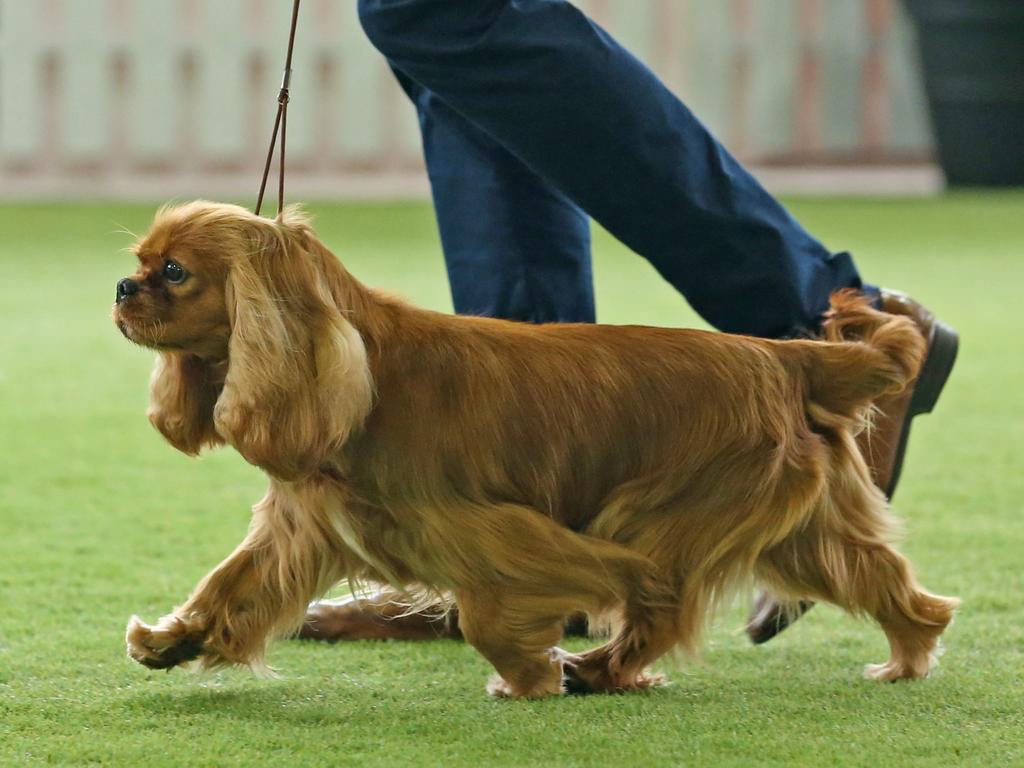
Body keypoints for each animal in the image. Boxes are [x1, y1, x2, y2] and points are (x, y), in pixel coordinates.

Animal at [116, 199, 954, 696]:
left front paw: (528, 676)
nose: (122, 290)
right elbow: (232, 585)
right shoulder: (300, 527)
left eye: (174, 271)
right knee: (899, 590)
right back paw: (906, 660)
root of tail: (786, 357)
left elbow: (489, 613)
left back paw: (598, 669)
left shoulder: (490, 530)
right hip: (806, 531)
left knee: (659, 607)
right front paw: (173, 641)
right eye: (141, 263)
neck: (361, 367)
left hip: (665, 519)